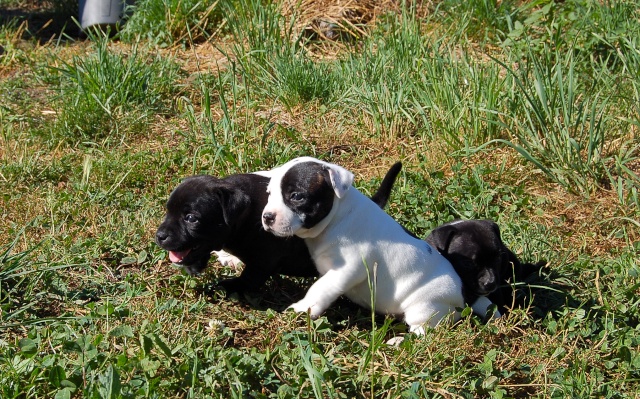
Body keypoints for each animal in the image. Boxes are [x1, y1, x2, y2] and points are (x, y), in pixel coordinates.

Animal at [155, 162, 402, 294]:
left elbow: (249, 279)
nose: (159, 236)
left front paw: (226, 287)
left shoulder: (263, 261)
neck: (246, 216)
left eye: (191, 218)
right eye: (167, 211)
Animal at [260, 157, 484, 334]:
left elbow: (320, 287)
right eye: (269, 194)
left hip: (426, 307)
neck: (337, 217)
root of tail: (463, 295)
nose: (267, 217)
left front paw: (304, 307)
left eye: (297, 196)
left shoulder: (347, 268)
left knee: (421, 333)